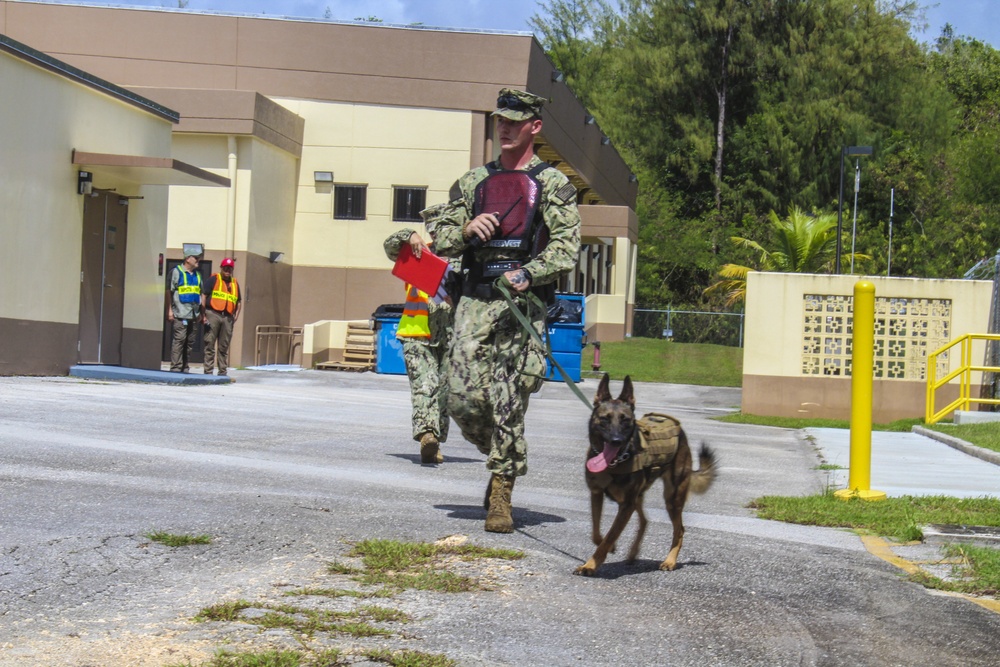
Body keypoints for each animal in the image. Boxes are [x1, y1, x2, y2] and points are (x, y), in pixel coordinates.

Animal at [576, 374, 716, 576]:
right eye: (605, 419)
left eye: (625, 420)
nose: (616, 440)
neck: (614, 463)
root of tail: (680, 432)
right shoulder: (597, 494)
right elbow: (597, 533)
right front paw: (608, 548)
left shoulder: (626, 504)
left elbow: (610, 535)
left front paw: (590, 565)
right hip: (638, 498)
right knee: (644, 520)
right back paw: (633, 553)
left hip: (672, 499)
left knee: (679, 530)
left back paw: (670, 561)